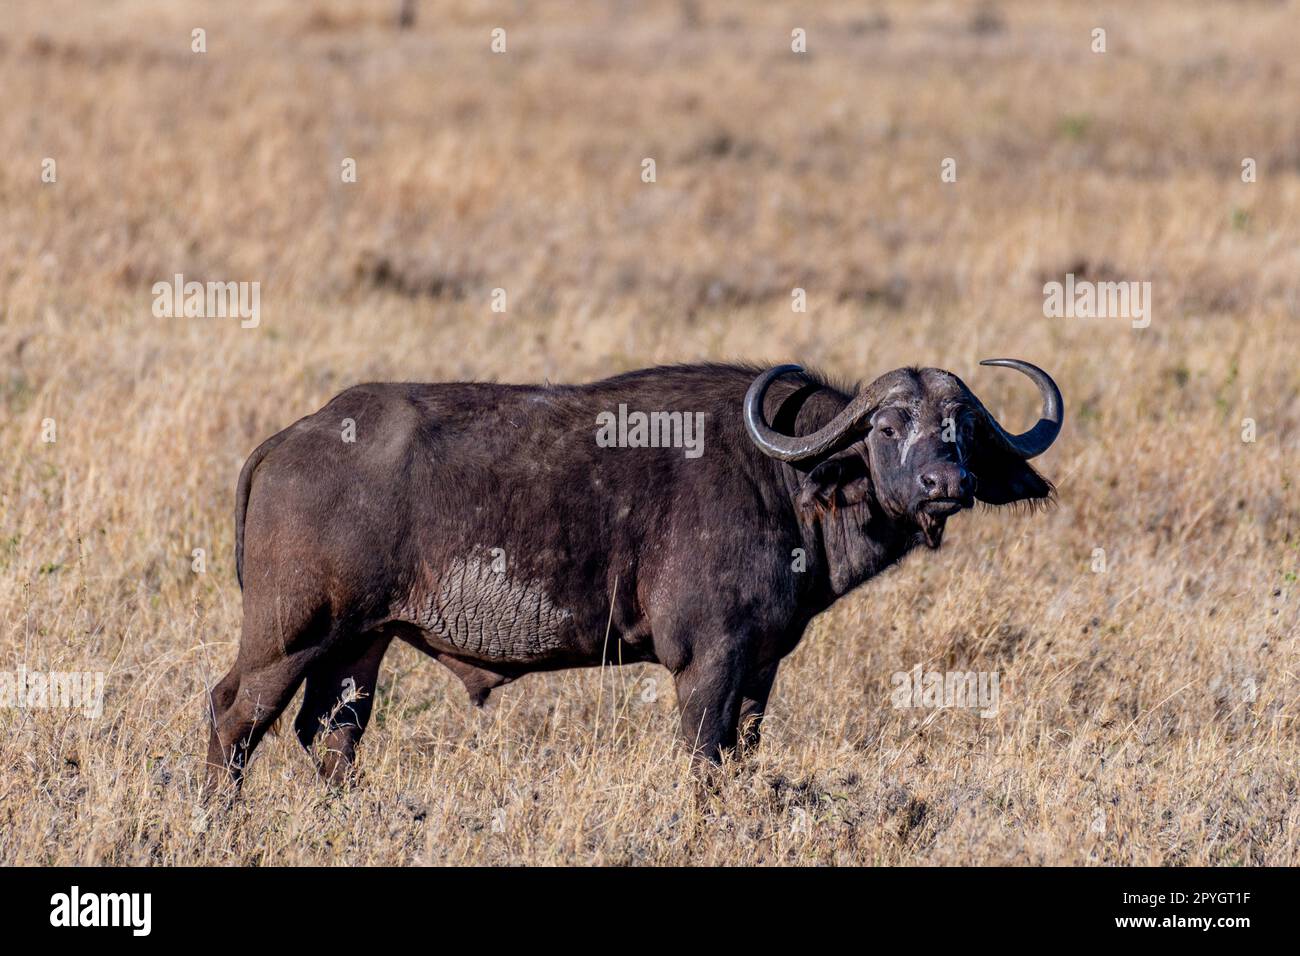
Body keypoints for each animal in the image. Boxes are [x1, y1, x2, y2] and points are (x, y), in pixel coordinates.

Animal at [205, 359, 1061, 791]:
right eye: (886, 426)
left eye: (962, 429)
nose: (946, 484)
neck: (785, 481)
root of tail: (292, 438)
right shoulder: (708, 661)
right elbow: (704, 761)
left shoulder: (762, 667)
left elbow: (744, 754)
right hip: (288, 637)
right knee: (233, 717)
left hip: (361, 644)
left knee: (331, 738)